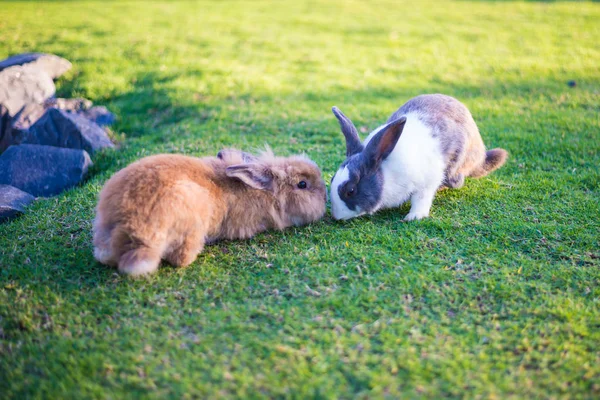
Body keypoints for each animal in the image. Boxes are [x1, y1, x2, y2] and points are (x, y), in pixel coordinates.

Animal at [328, 93, 506, 220]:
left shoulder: (426, 183)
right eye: (332, 179)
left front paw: (413, 217)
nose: (337, 217)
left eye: (351, 191)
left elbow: (421, 199)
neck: (385, 174)